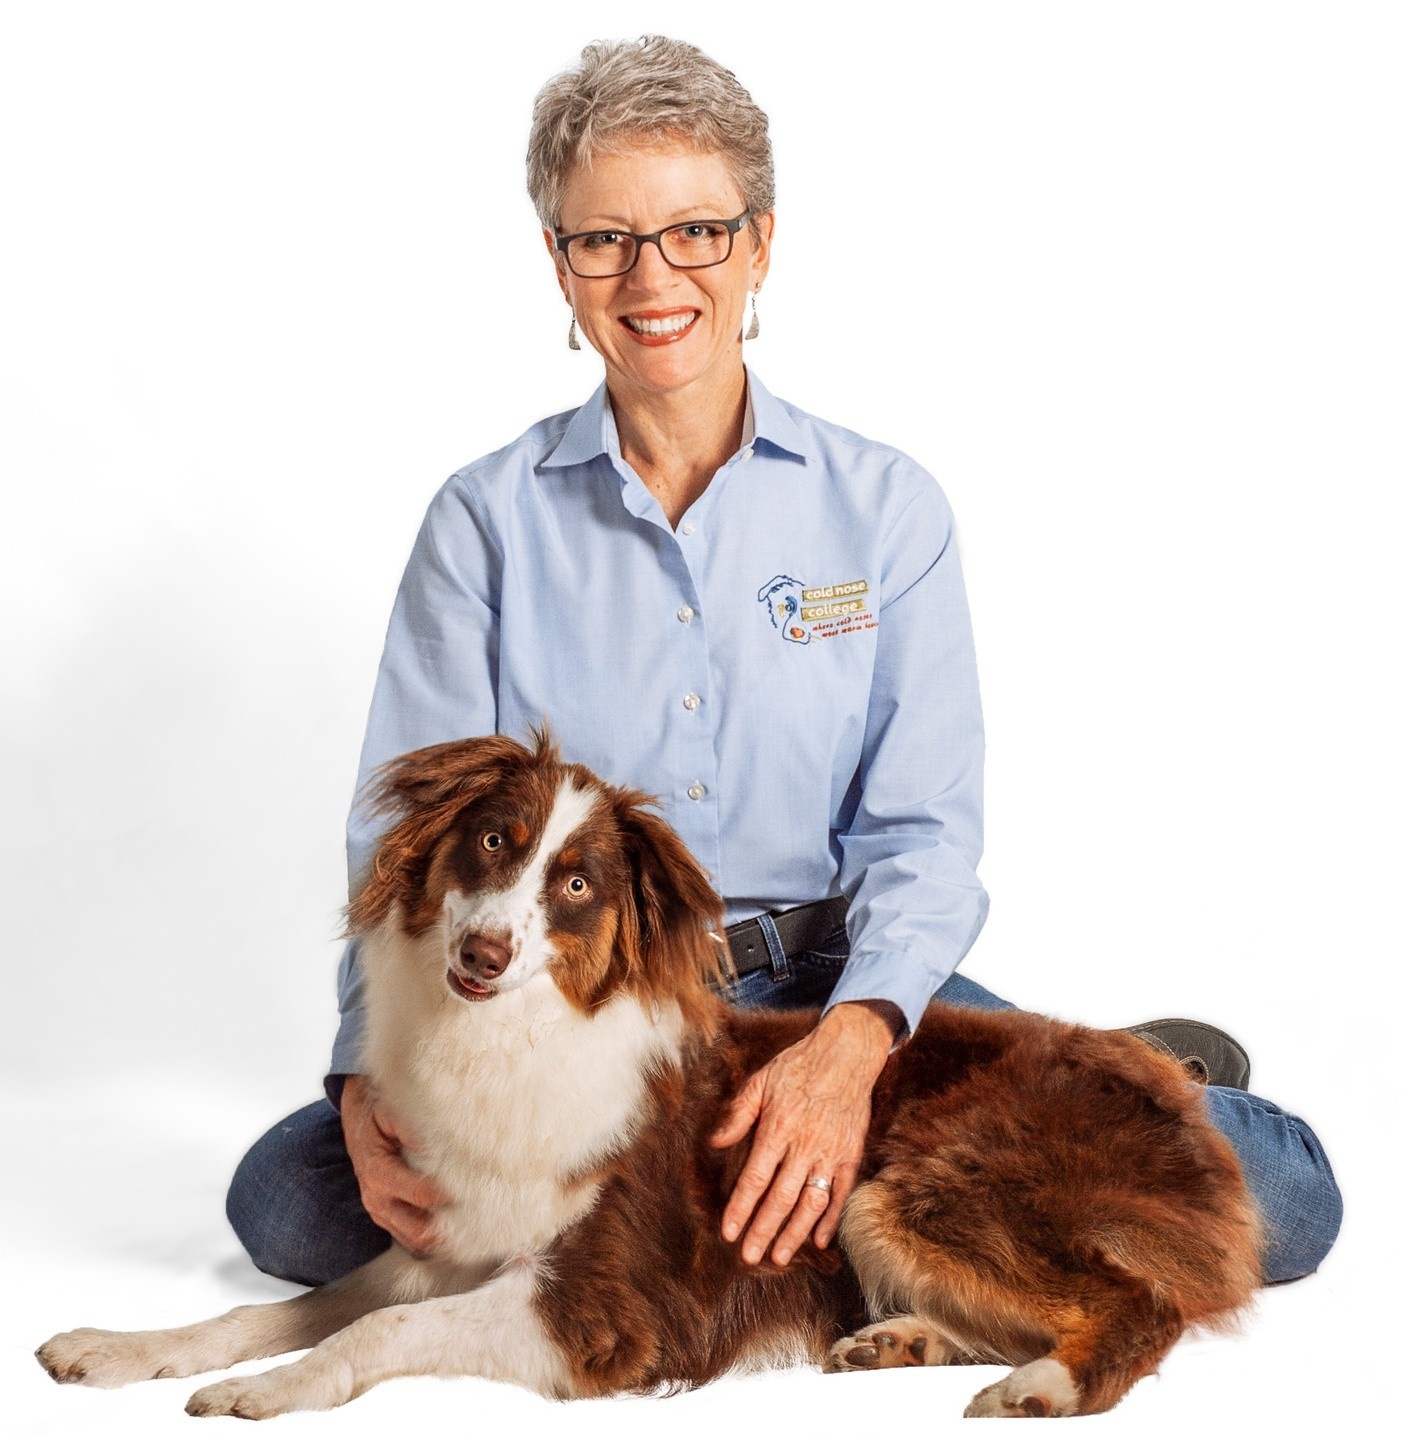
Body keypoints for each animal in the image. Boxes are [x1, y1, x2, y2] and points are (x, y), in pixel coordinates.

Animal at [37, 726, 1261, 1418]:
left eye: (577, 886)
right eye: (493, 841)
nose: (486, 953)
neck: (518, 1039)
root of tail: (1175, 1090)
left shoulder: (603, 1309)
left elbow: (364, 1335)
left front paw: (268, 1388)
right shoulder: (437, 1250)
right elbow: (268, 1310)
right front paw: (122, 1346)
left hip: (895, 1185)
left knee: (1139, 1303)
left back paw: (1042, 1385)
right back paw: (900, 1339)